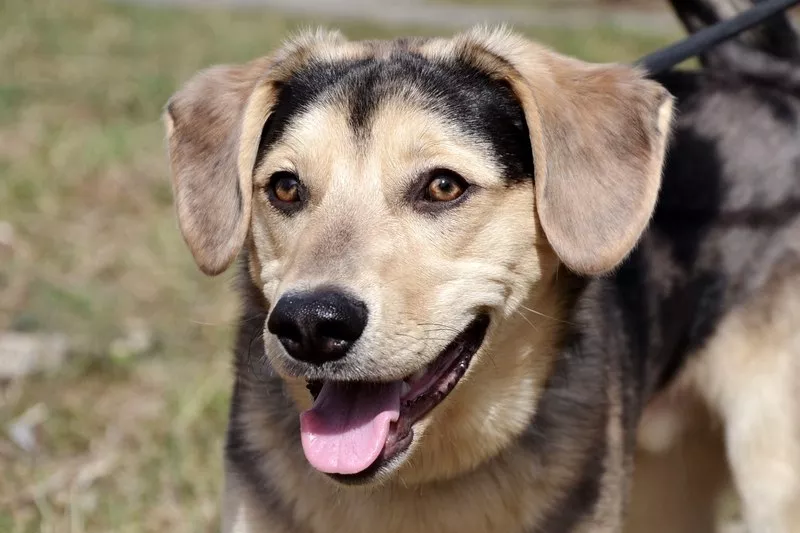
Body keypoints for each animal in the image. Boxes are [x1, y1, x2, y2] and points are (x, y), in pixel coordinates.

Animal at [162, 1, 800, 528]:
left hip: (770, 464)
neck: (415, 486)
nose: (310, 325)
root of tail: (764, 76)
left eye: (443, 186)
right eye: (286, 188)